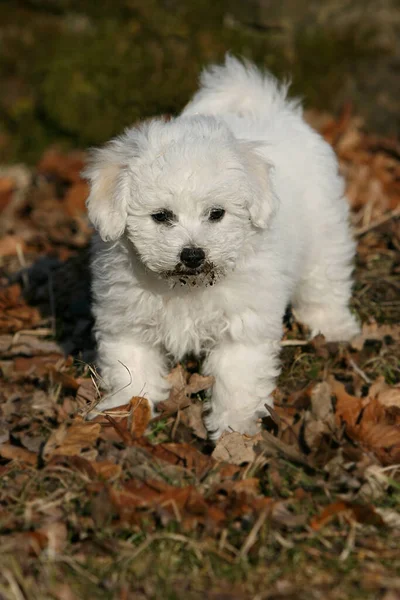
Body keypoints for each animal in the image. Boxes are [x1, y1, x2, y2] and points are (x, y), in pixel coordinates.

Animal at [84, 56, 360, 438]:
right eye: (161, 216)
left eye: (216, 214)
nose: (193, 254)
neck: (186, 287)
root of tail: (271, 108)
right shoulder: (126, 319)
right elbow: (131, 367)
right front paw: (127, 410)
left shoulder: (242, 325)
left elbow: (237, 377)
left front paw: (234, 426)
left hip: (324, 232)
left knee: (324, 281)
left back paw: (333, 326)